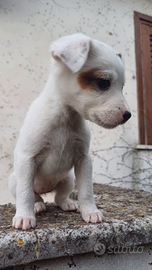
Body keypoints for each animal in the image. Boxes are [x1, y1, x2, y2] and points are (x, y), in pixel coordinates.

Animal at [8, 32, 131, 229]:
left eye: (122, 86)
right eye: (103, 82)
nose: (128, 115)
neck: (65, 119)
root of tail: (46, 188)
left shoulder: (83, 160)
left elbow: (86, 190)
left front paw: (90, 211)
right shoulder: (27, 159)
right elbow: (25, 193)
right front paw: (24, 216)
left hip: (68, 179)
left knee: (59, 197)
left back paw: (66, 203)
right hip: (14, 180)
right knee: (34, 195)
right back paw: (37, 206)